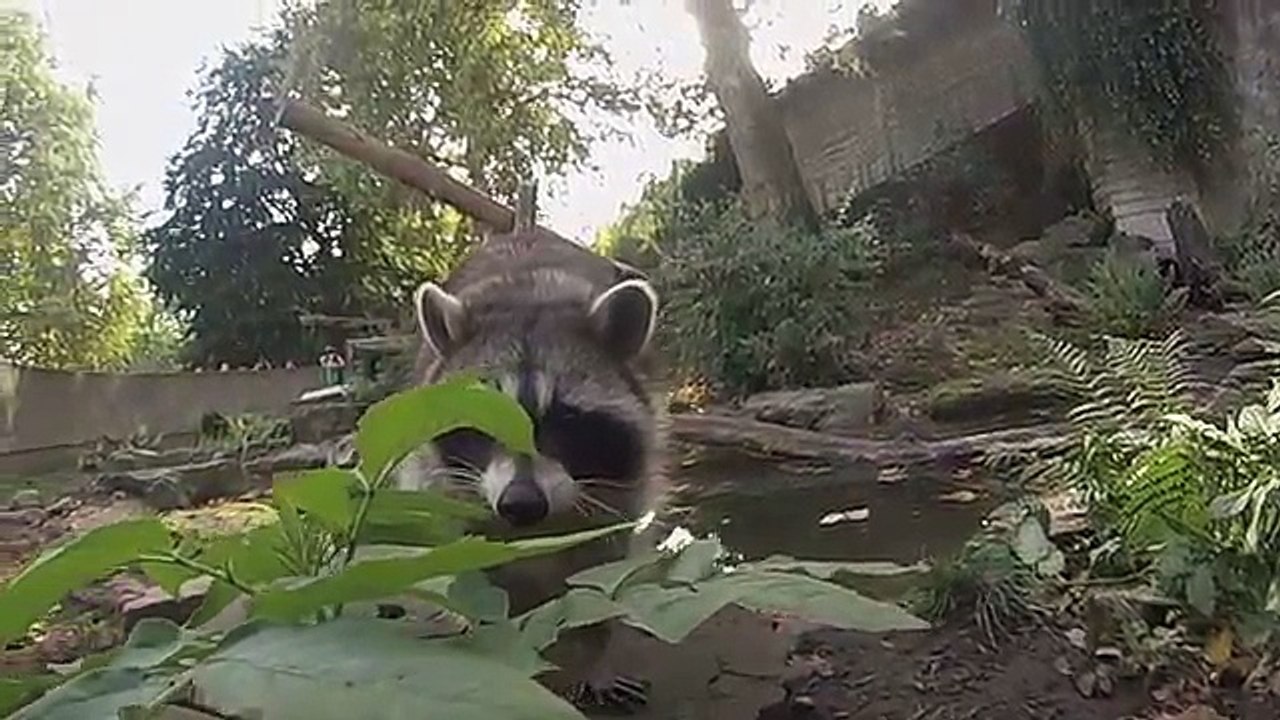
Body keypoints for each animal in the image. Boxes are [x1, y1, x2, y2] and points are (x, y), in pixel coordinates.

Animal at [397, 229, 667, 712]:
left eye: (566, 420)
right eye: (482, 423)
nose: (521, 504)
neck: (527, 296)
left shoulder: (621, 490)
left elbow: (600, 580)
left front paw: (596, 659)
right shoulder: (448, 490)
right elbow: (475, 578)